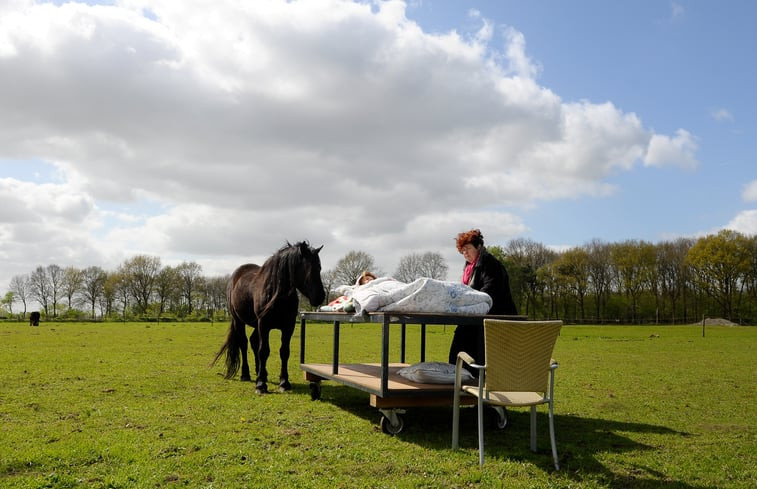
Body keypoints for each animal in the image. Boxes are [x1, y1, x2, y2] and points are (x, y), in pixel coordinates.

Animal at [211, 240, 324, 392]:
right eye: (308, 269)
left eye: (319, 268)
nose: (320, 296)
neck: (277, 294)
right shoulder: (264, 324)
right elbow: (264, 351)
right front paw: (261, 384)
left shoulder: (288, 326)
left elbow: (284, 352)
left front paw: (284, 382)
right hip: (239, 321)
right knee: (244, 344)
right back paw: (246, 374)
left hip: (255, 324)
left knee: (253, 341)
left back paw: (260, 371)